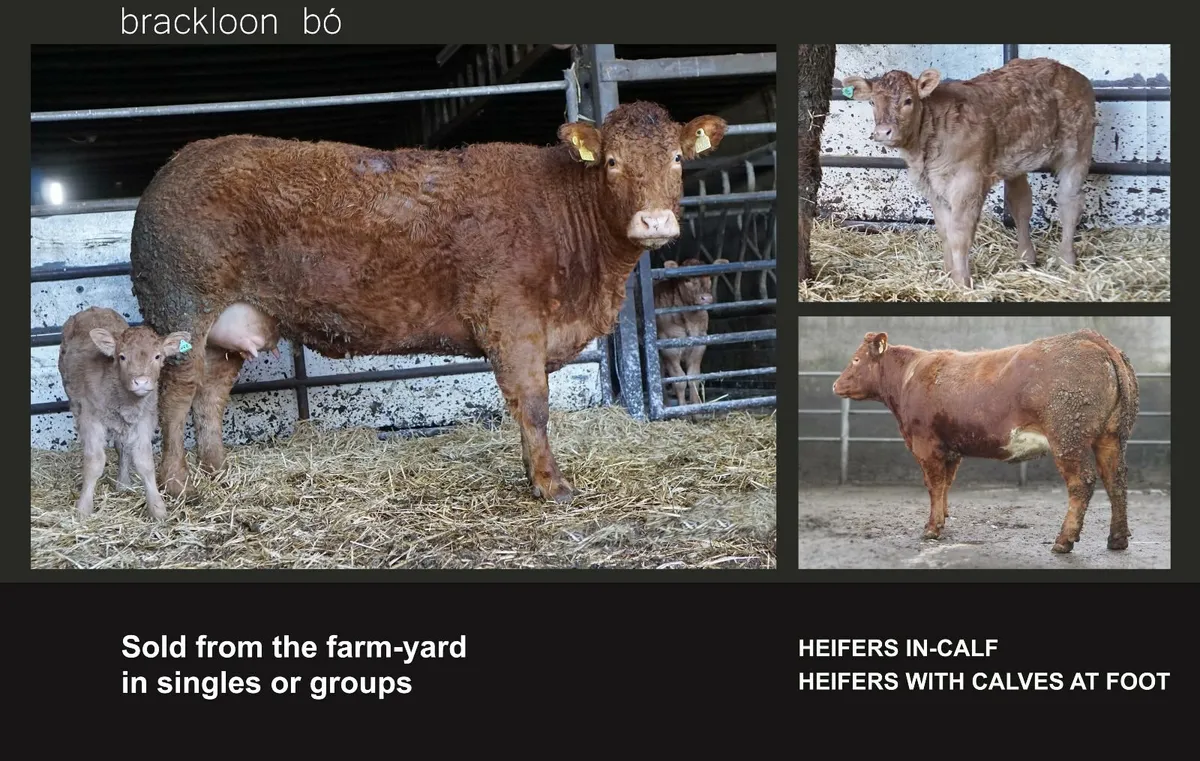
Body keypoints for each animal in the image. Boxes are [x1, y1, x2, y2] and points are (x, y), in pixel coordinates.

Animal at [56, 306, 191, 519]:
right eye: (122, 357)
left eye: (157, 356)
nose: (141, 382)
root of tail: (94, 308)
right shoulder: (90, 418)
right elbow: (95, 462)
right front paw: (83, 508)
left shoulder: (145, 418)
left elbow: (144, 461)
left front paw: (158, 509)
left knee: (122, 447)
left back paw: (123, 483)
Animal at [654, 257, 726, 407]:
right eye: (687, 280)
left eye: (709, 277)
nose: (706, 298)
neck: (690, 320)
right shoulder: (669, 349)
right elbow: (679, 380)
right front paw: (683, 408)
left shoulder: (700, 344)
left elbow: (693, 377)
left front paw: (696, 406)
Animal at [831, 329, 1139, 554]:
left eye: (856, 360)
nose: (835, 384)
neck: (908, 378)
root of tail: (1089, 337)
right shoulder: (951, 449)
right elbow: (945, 485)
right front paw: (943, 519)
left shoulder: (926, 444)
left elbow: (933, 485)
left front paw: (931, 528)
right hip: (1112, 435)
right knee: (1116, 480)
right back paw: (1117, 539)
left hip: (1067, 438)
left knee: (1081, 483)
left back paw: (1064, 541)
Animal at [842, 57, 1096, 288]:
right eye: (872, 102)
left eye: (908, 100)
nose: (883, 132)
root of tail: (1070, 72)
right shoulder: (932, 186)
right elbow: (944, 230)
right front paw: (948, 274)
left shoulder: (968, 182)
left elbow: (959, 233)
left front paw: (962, 282)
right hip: (1016, 160)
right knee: (1021, 204)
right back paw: (1026, 258)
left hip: (1078, 149)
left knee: (1069, 202)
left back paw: (1067, 260)